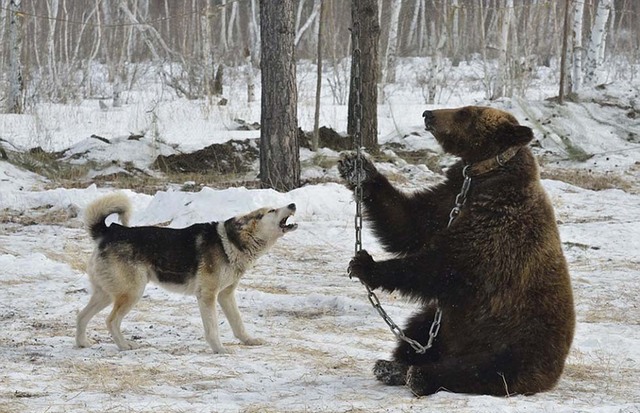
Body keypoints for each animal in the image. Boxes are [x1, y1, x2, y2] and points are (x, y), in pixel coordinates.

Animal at [340, 106, 576, 396]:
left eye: (466, 113)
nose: (428, 113)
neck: (482, 174)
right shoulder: (448, 200)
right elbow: (408, 222)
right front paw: (357, 167)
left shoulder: (497, 222)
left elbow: (445, 266)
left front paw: (366, 265)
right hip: (445, 325)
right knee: (421, 328)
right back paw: (393, 365)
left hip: (518, 339)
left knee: (486, 369)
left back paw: (420, 375)